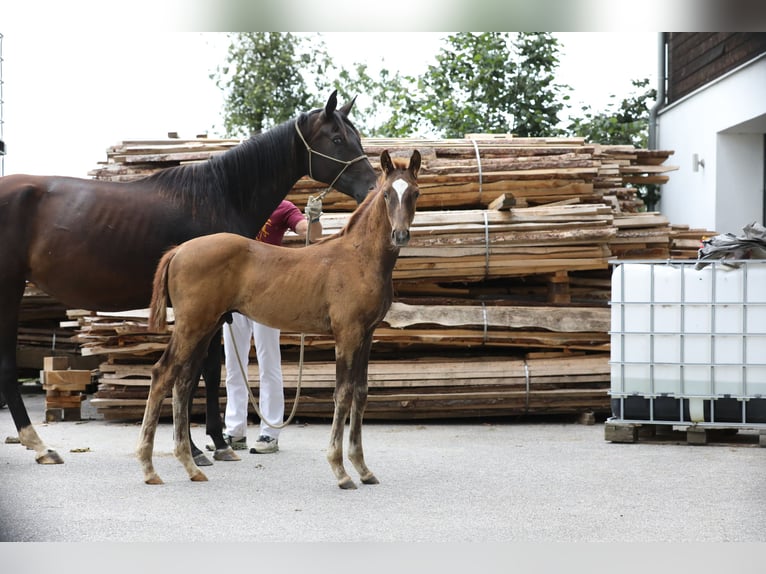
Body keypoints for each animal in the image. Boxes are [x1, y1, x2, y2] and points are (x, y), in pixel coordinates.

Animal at [0, 91, 378, 468]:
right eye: (337, 139)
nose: (373, 188)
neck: (220, 194)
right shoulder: (206, 310)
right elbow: (199, 371)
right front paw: (204, 445)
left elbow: (199, 371)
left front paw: (206, 442)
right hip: (9, 289)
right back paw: (39, 444)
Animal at [141, 150, 424, 490]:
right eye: (386, 194)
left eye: (415, 192)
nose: (400, 235)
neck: (359, 257)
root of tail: (180, 250)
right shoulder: (347, 334)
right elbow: (342, 394)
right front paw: (341, 471)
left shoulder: (366, 334)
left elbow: (361, 392)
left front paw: (364, 469)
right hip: (192, 326)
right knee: (162, 374)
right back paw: (149, 469)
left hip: (205, 328)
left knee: (182, 382)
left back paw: (191, 466)